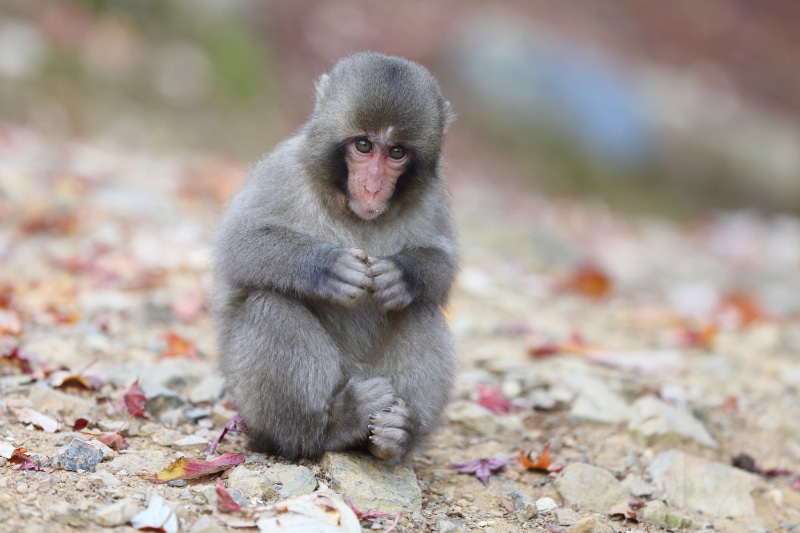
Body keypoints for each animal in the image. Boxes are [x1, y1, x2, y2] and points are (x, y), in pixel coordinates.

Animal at [211, 52, 457, 465]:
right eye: (363, 146)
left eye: (396, 152)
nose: (373, 186)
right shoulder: (284, 169)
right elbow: (238, 244)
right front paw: (329, 268)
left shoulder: (434, 196)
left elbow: (444, 265)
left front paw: (400, 275)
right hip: (257, 407)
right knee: (270, 305)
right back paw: (329, 427)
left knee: (420, 310)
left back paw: (398, 435)